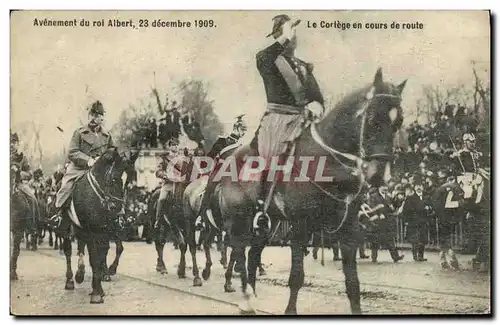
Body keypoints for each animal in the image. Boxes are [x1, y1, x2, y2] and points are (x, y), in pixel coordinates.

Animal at [58, 147, 139, 304]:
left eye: (128, 182)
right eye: (114, 179)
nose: (118, 210)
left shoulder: (105, 231)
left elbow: (105, 254)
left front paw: (101, 283)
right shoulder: (93, 232)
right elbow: (95, 259)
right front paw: (96, 293)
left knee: (81, 247)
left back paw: (81, 273)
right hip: (68, 228)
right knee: (68, 251)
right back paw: (70, 280)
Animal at [188, 67, 406, 312]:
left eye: (399, 121)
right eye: (372, 119)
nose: (379, 175)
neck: (328, 160)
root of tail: (226, 160)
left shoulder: (348, 228)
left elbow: (353, 283)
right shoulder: (300, 226)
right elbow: (297, 277)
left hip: (265, 226)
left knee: (251, 255)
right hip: (236, 222)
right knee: (237, 253)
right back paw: (243, 295)